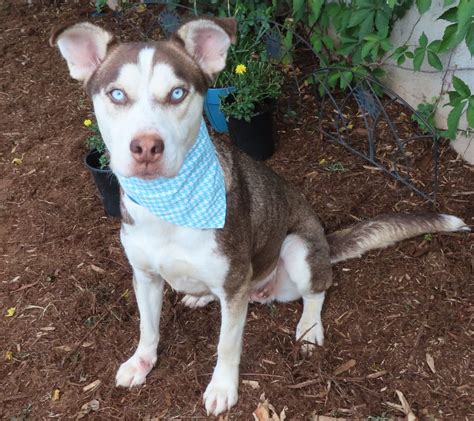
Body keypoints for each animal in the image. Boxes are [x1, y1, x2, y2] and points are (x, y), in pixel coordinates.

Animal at [51, 18, 470, 416]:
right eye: (117, 94)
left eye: (177, 93)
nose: (147, 147)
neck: (169, 206)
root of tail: (324, 239)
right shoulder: (145, 276)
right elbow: (148, 327)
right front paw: (141, 362)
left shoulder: (234, 286)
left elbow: (227, 344)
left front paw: (222, 388)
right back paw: (200, 296)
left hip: (297, 247)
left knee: (319, 289)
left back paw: (309, 326)